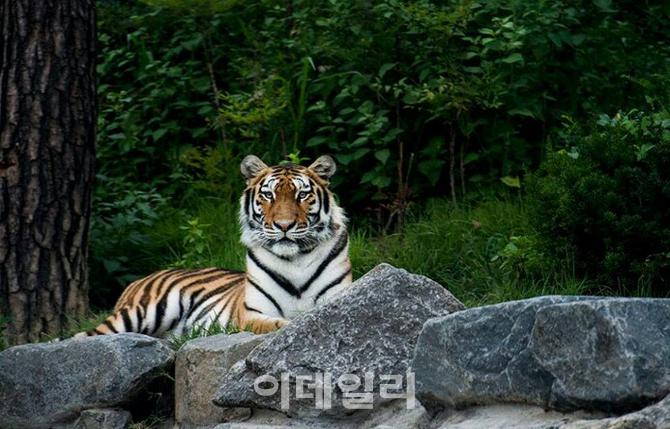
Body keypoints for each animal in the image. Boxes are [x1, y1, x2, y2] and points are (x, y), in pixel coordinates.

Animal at [77, 155, 352, 338]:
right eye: (269, 195)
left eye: (302, 195)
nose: (284, 225)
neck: (294, 261)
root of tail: (139, 279)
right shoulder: (251, 313)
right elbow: (272, 324)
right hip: (144, 311)